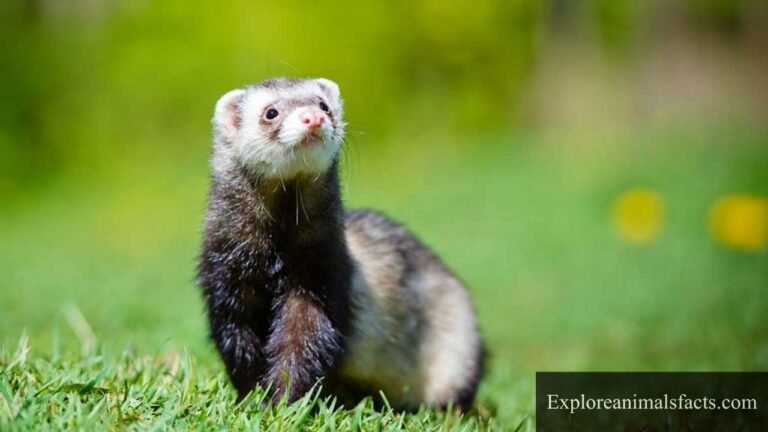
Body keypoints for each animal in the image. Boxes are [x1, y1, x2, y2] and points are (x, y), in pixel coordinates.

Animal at [198, 78, 484, 411]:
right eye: (270, 112)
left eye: (323, 104)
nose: (313, 117)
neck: (275, 259)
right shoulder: (227, 283)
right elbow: (237, 345)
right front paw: (251, 397)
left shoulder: (321, 278)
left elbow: (305, 347)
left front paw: (283, 402)